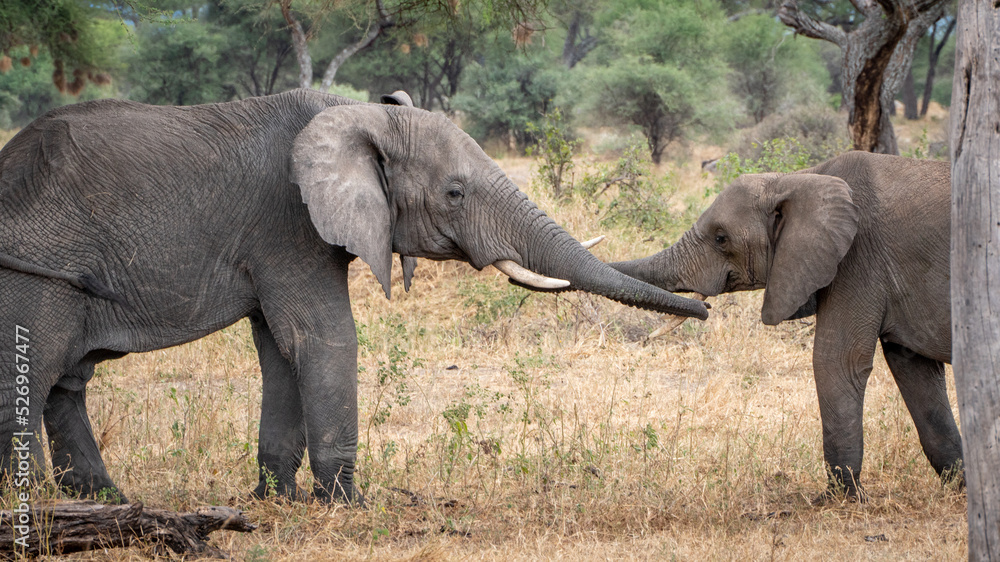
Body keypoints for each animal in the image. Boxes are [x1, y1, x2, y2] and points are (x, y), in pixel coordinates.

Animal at [0, 88, 708, 504]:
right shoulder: (286, 220)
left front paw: (278, 502)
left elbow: (280, 349)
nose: (706, 308)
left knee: (66, 380)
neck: (354, 111)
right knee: (34, 369)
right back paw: (36, 505)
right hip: (35, 271)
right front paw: (346, 506)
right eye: (455, 193)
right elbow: (323, 337)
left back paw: (103, 502)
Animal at [612, 151, 964, 496]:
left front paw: (841, 498)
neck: (796, 179)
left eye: (721, 238)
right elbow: (914, 370)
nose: (706, 306)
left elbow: (837, 360)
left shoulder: (859, 259)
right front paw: (959, 485)